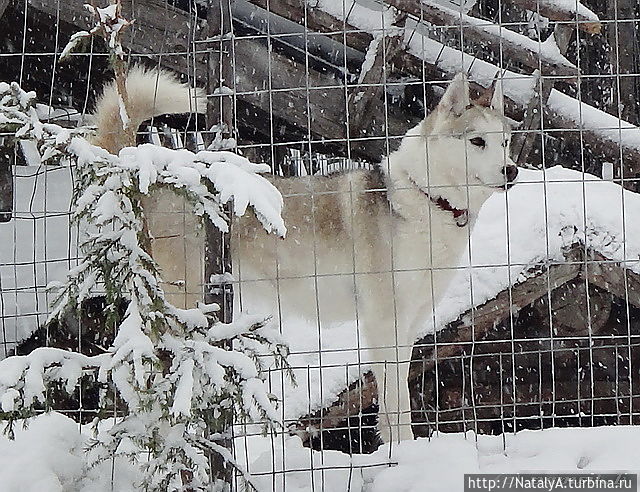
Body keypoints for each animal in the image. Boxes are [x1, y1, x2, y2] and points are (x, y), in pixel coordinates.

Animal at [92, 70, 516, 446]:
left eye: (506, 142)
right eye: (478, 141)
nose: (512, 170)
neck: (428, 200)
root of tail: (144, 171)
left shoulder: (407, 328)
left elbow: (393, 403)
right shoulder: (384, 324)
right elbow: (397, 404)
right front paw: (401, 455)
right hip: (184, 306)